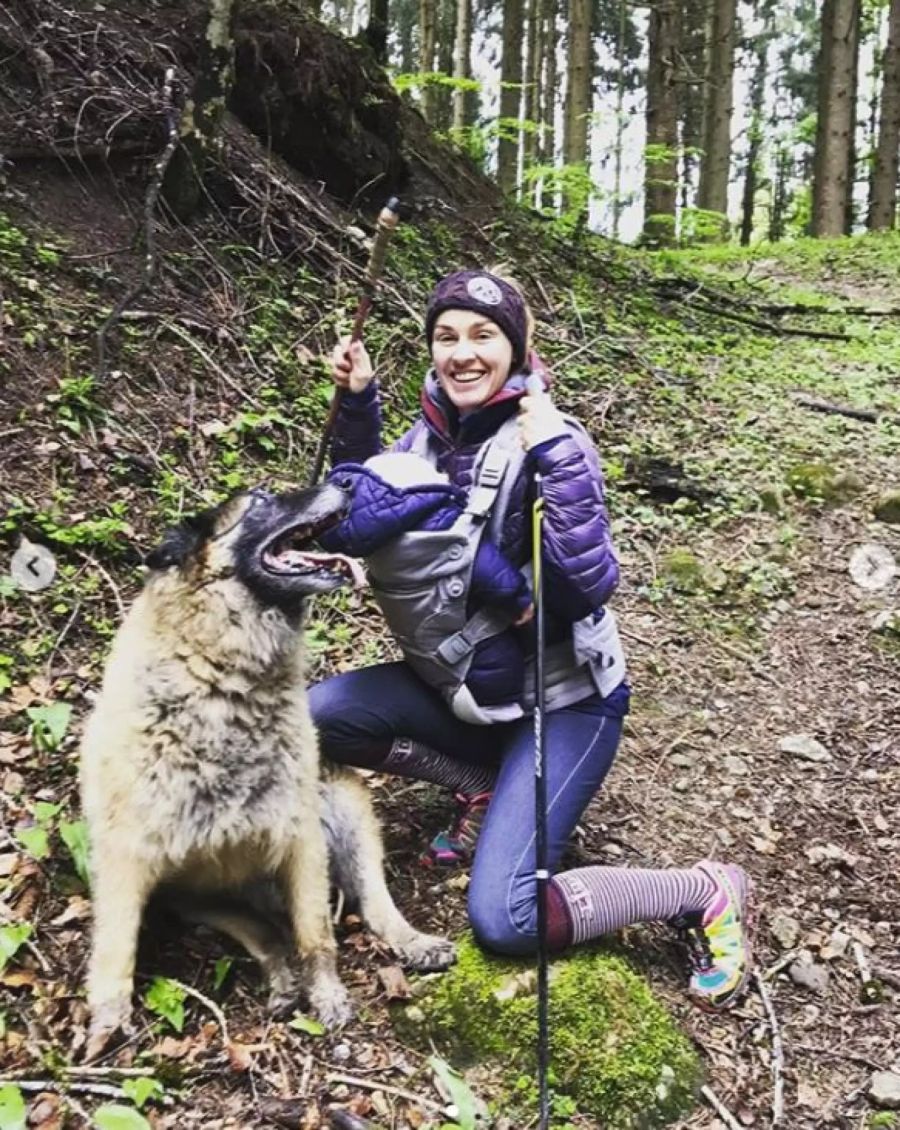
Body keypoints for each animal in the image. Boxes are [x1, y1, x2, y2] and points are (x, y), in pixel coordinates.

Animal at [79, 483, 454, 1057]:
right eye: (259, 501)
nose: (347, 484)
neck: (220, 677)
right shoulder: (128, 856)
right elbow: (115, 948)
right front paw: (106, 1022)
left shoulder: (300, 838)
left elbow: (316, 934)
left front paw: (328, 997)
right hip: (194, 892)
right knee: (266, 934)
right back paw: (281, 982)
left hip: (344, 807)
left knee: (372, 903)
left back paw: (411, 943)